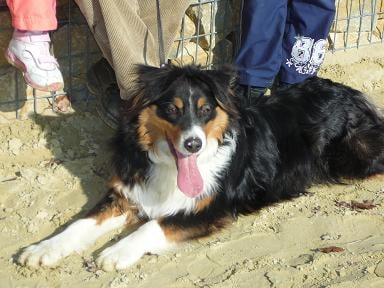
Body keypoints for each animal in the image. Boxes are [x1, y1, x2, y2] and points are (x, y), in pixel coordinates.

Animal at [19, 64, 384, 272]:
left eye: (207, 109)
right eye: (172, 109)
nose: (193, 144)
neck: (169, 168)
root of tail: (349, 92)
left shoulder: (210, 209)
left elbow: (152, 227)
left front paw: (115, 253)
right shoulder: (128, 194)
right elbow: (79, 225)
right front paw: (41, 250)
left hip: (353, 157)